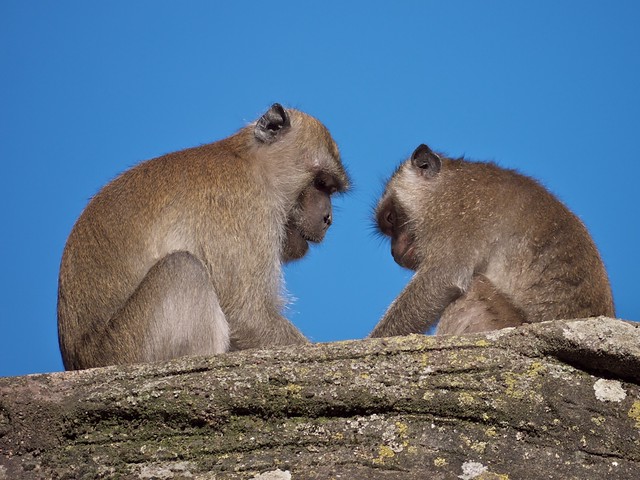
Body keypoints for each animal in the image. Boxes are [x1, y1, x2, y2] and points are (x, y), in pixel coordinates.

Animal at [57, 103, 350, 370]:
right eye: (321, 183)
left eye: (330, 189)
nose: (328, 218)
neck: (247, 160)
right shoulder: (244, 208)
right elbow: (247, 317)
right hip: (127, 347)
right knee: (183, 268)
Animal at [370, 143, 616, 338]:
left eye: (391, 217)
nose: (394, 251)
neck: (445, 184)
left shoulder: (457, 212)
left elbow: (443, 277)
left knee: (473, 290)